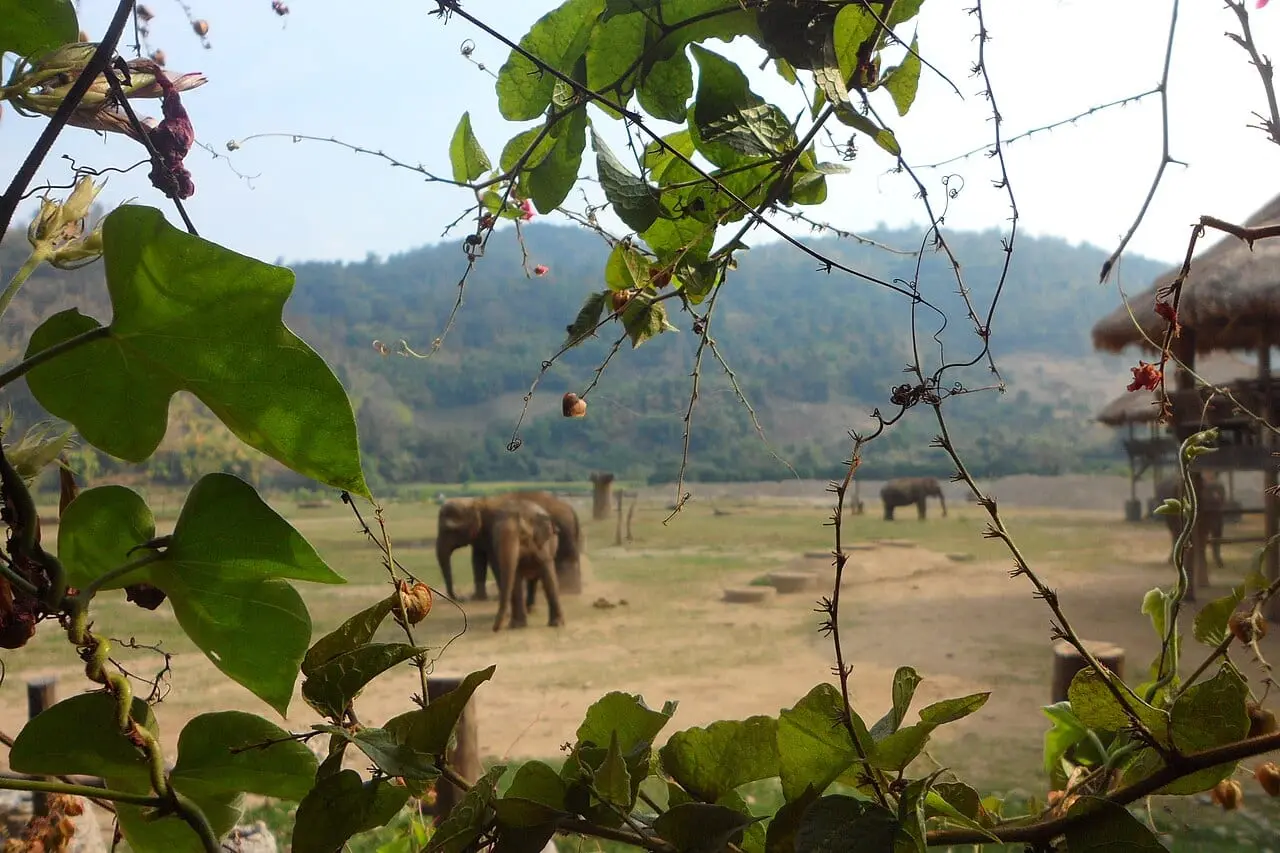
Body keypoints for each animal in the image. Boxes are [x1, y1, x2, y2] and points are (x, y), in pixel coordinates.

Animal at [435, 490, 583, 605]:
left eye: (448, 530)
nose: (461, 598)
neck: (476, 502)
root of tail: (571, 510)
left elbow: (494, 560)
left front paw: (498, 596)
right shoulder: (480, 535)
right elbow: (478, 559)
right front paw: (477, 598)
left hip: (564, 532)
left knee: (564, 561)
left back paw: (567, 589)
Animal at [487, 499, 565, 631]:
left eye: (522, 534)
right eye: (496, 537)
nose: (495, 629)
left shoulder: (544, 546)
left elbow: (549, 578)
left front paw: (557, 624)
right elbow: (515, 579)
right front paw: (517, 626)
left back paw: (532, 609)